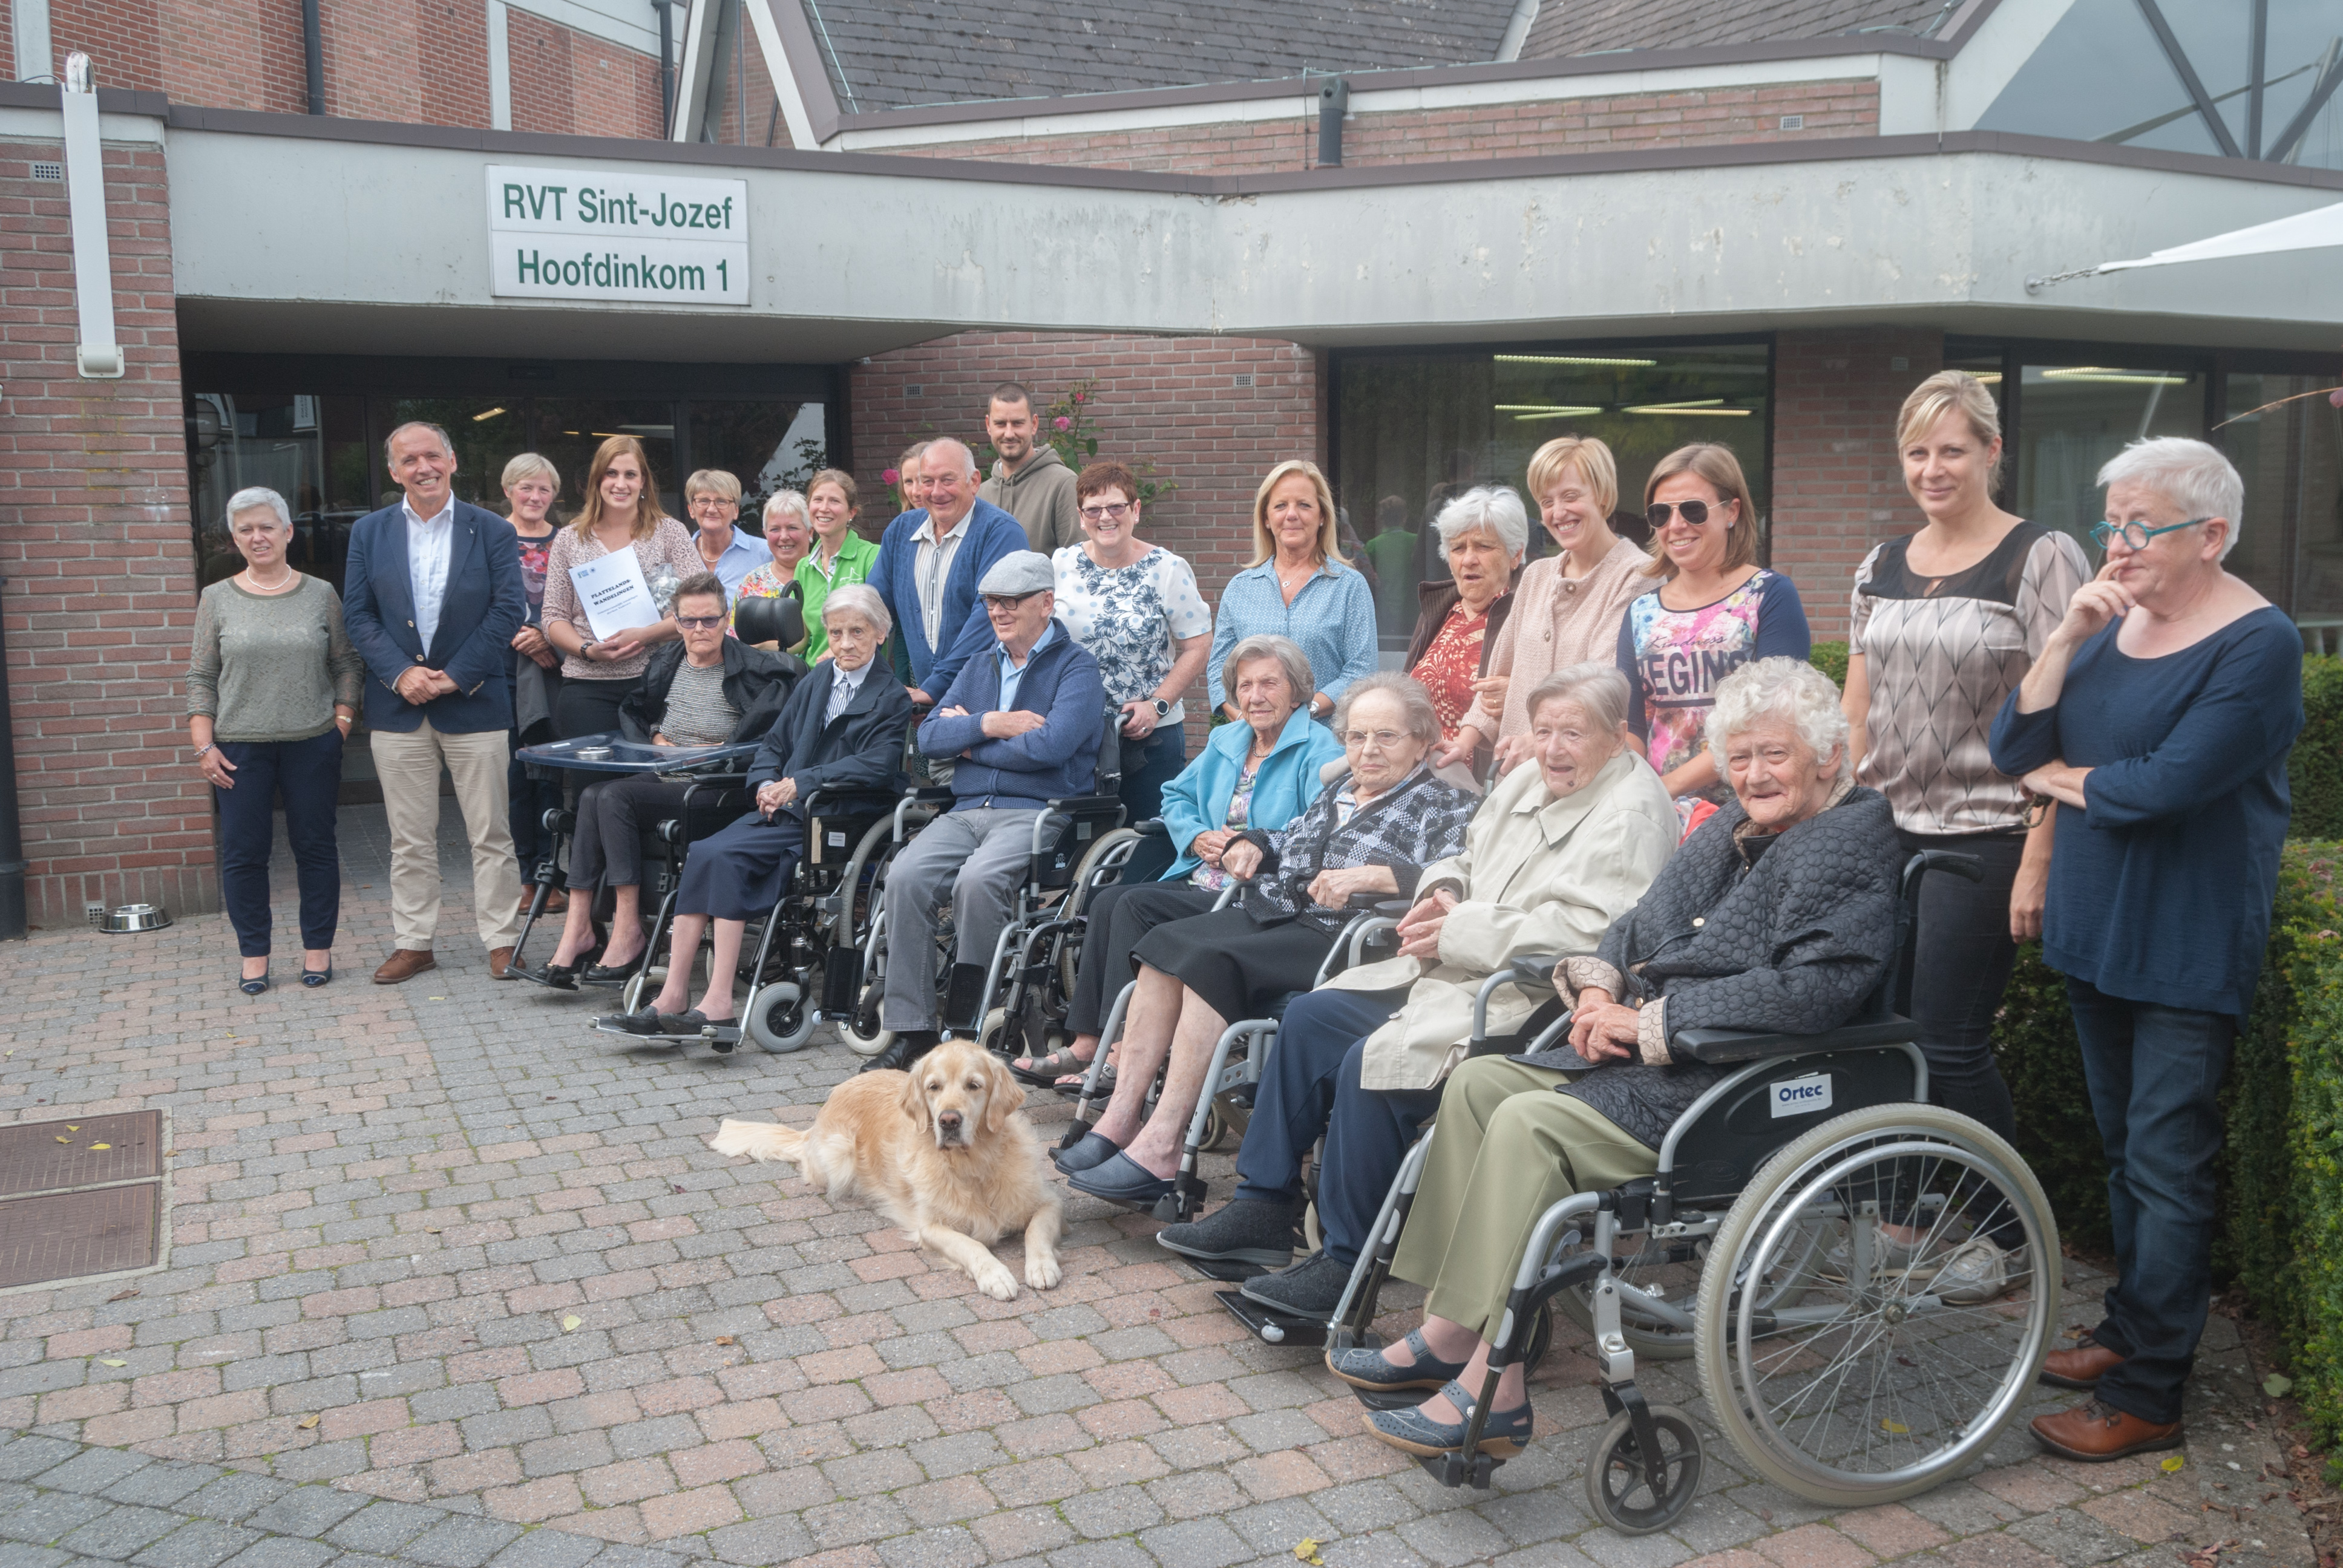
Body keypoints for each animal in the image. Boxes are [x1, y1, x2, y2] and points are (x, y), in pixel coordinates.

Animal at [707, 1040, 1068, 1293]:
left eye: (974, 1085)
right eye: (934, 1087)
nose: (948, 1121)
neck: (974, 1164)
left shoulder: (1048, 1202)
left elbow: (1036, 1230)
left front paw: (1041, 1267)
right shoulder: (930, 1227)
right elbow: (973, 1245)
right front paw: (996, 1276)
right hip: (839, 1153)